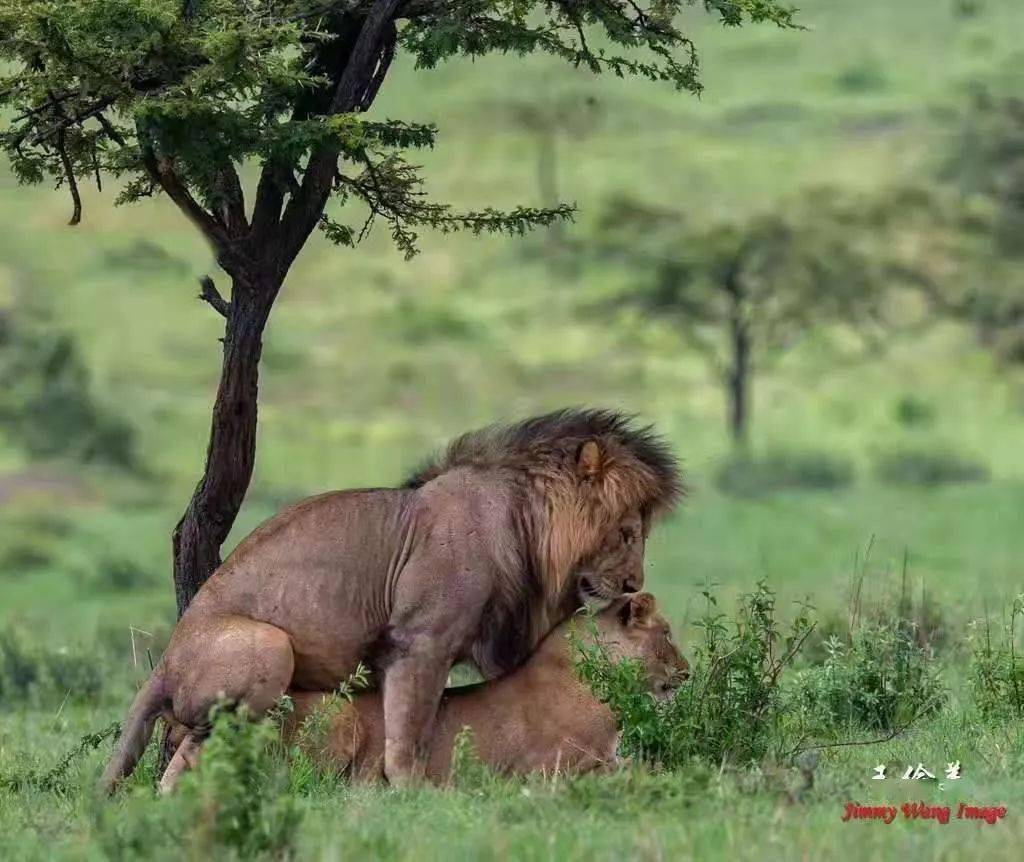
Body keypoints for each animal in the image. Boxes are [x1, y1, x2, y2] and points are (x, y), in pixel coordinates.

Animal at [103, 407, 679, 790]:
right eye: (627, 533)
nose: (635, 585)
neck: (524, 523)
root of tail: (165, 661)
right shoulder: (420, 640)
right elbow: (408, 729)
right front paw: (411, 794)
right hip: (270, 647)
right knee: (193, 748)